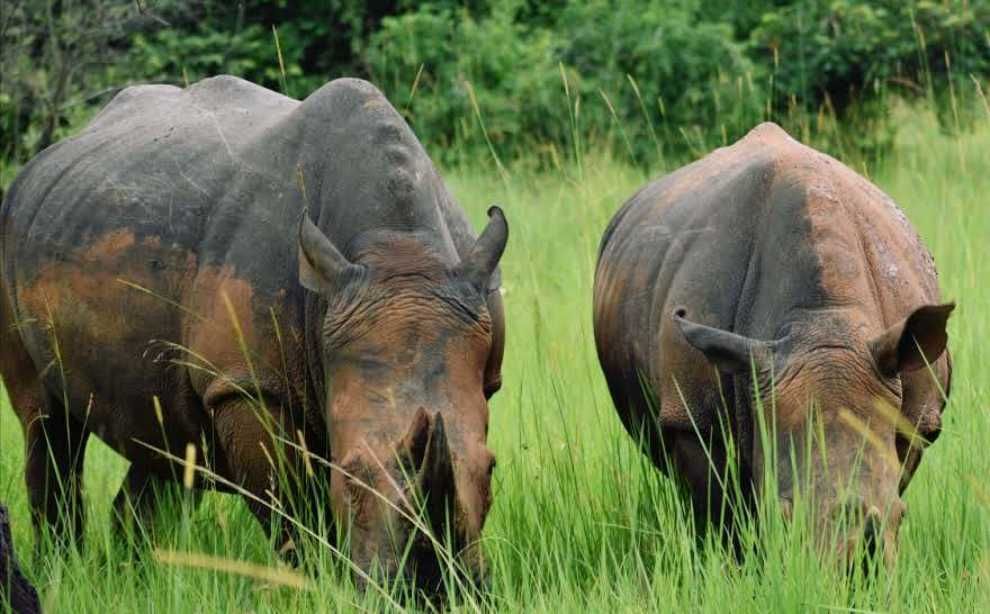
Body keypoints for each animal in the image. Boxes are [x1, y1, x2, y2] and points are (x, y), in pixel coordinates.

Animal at [0, 76, 507, 592]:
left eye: (491, 469)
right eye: (348, 476)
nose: (429, 588)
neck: (398, 252)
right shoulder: (247, 385)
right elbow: (294, 509)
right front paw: (322, 584)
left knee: (168, 435)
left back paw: (137, 577)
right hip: (13, 229)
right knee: (45, 423)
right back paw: (59, 572)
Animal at [593, 123, 953, 564]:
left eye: (901, 517)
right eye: (784, 515)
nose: (853, 574)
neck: (822, 321)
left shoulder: (916, 413)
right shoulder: (693, 417)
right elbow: (722, 516)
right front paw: (733, 567)